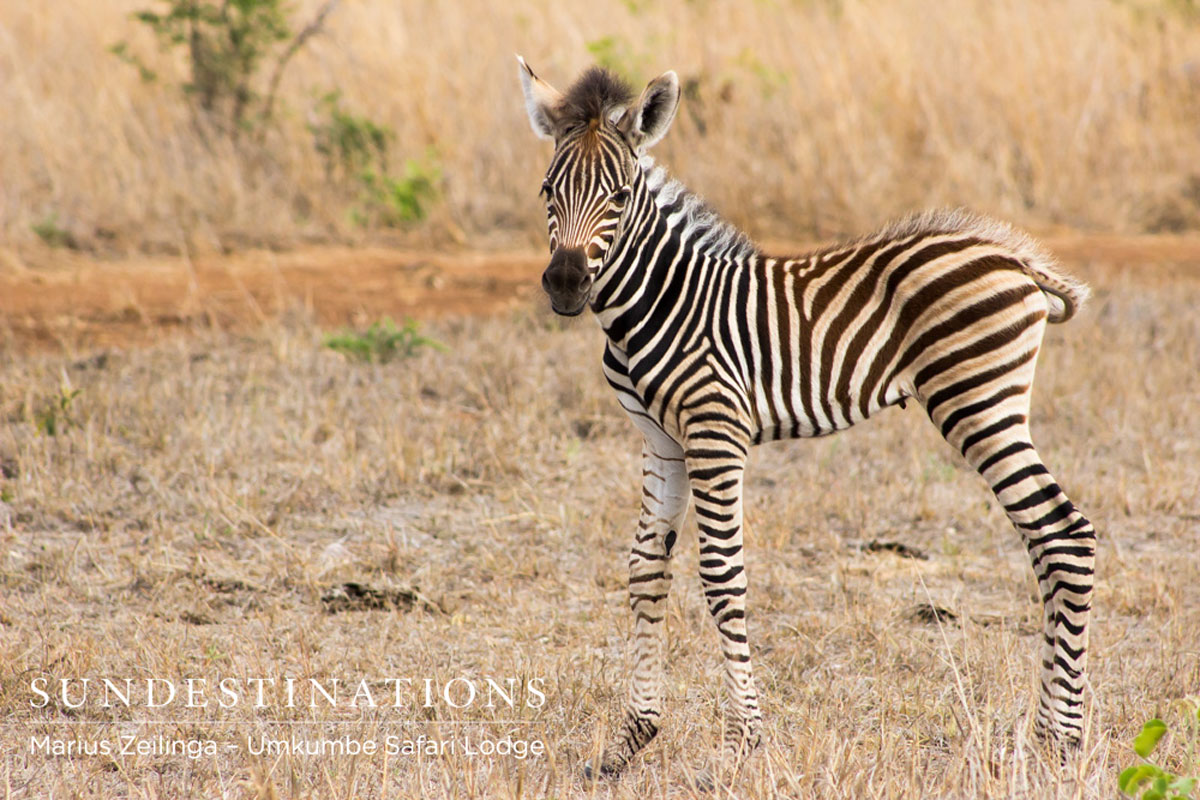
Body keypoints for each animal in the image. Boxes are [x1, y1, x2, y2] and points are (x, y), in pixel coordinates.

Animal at [517, 57, 1096, 779]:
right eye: (548, 190)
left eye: (619, 197)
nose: (566, 284)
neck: (660, 301)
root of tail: (1016, 256)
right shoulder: (661, 440)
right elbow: (646, 571)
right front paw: (631, 740)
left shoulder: (715, 432)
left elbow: (721, 576)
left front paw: (741, 746)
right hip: (988, 403)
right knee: (1045, 544)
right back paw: (1046, 734)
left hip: (977, 399)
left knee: (1065, 535)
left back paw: (1063, 741)